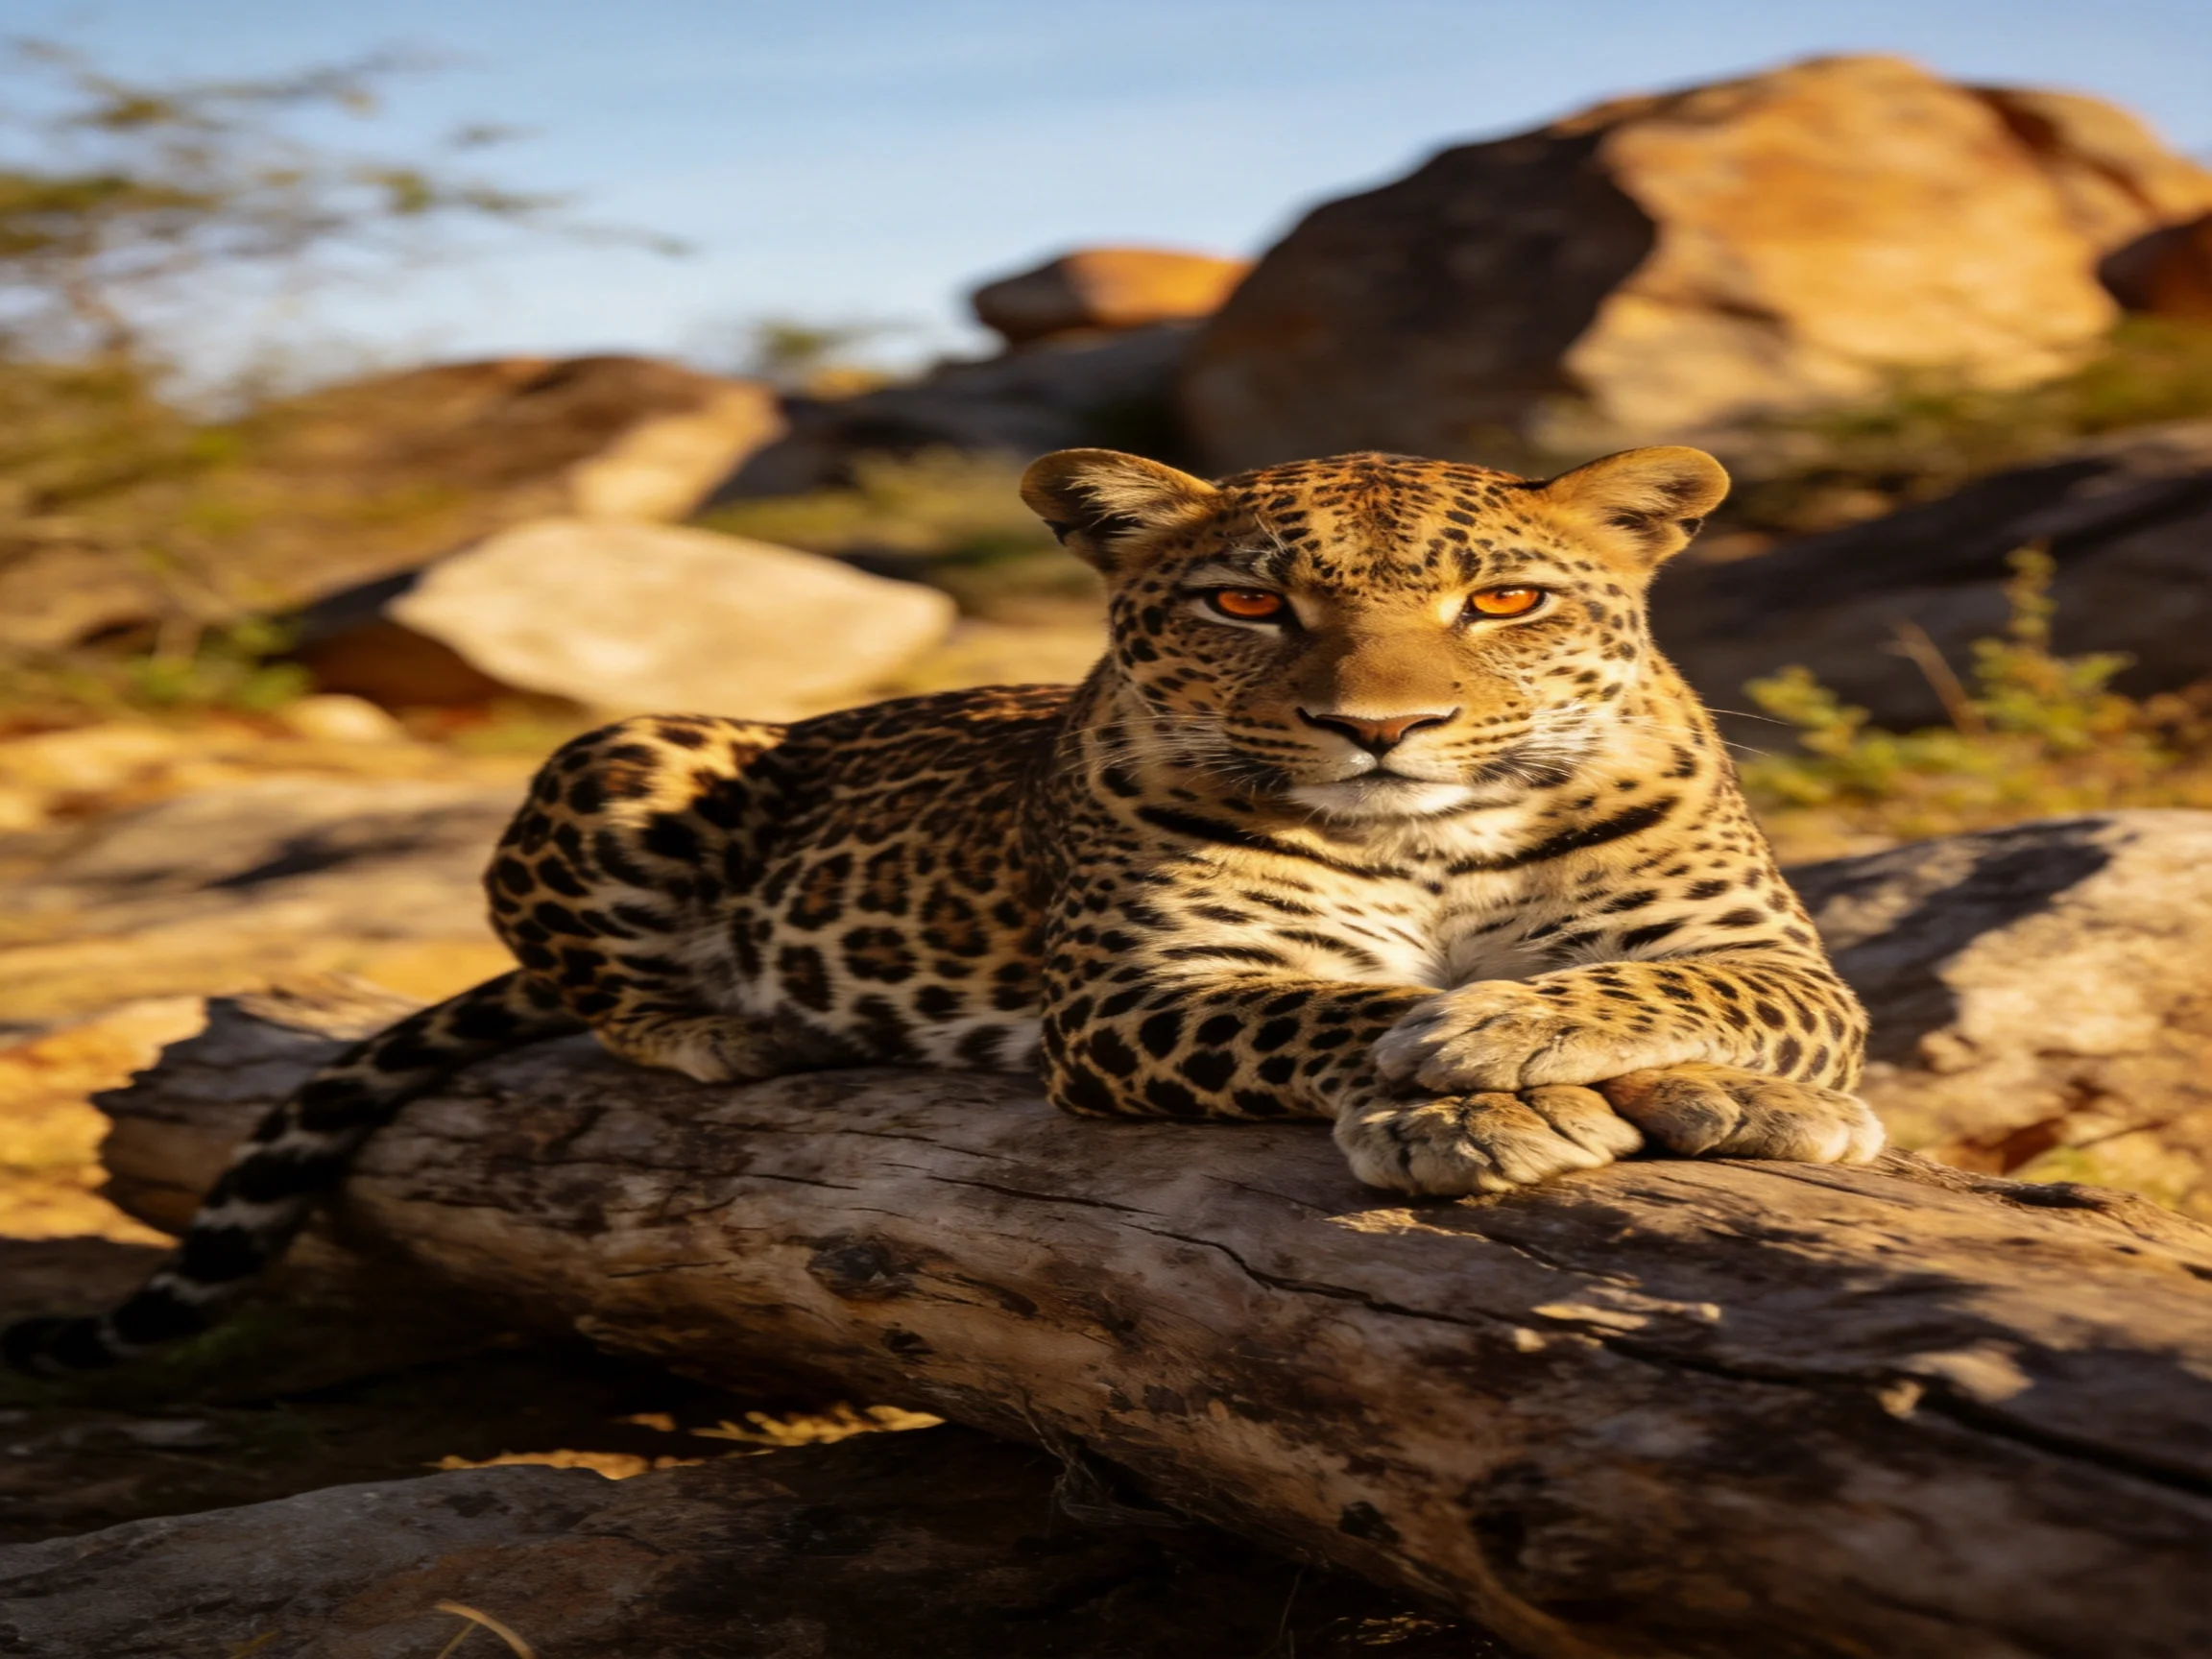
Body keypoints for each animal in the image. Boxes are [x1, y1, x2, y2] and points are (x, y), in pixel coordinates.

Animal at [6, 442, 1880, 1375]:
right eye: (1243, 602)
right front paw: (1466, 1099)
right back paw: (718, 1024)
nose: (1381, 727)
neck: (1432, 838)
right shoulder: (1140, 992)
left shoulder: (1773, 954)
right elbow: (1346, 1006)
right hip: (629, 742)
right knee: (589, 977)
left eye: (1501, 602)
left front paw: (1730, 1097)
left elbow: (1706, 997)